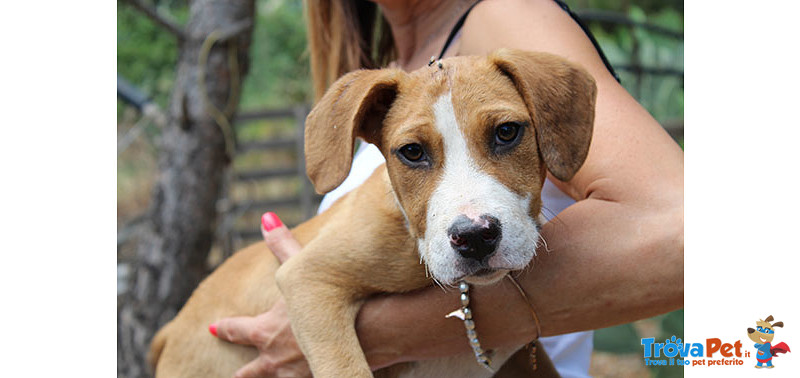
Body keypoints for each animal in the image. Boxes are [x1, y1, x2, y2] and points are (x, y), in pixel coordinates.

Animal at [153, 48, 596, 376]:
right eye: (412, 152)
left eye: (506, 132)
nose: (474, 237)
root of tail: (169, 330)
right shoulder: (308, 278)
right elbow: (346, 368)